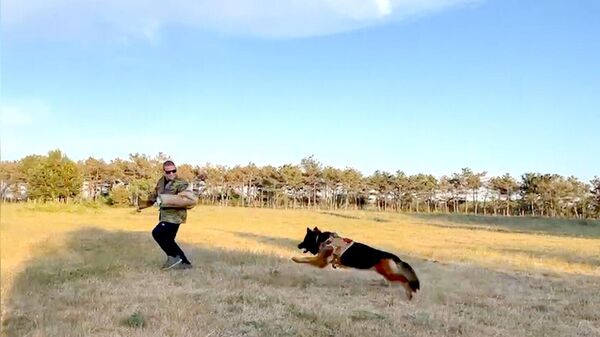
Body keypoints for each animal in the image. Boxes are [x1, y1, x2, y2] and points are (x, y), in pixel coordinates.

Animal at [292, 226, 420, 300]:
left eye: (305, 240)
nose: (298, 245)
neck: (322, 239)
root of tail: (392, 256)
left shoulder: (321, 261)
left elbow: (306, 259)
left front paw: (295, 259)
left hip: (389, 274)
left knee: (405, 279)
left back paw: (410, 293)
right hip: (387, 274)